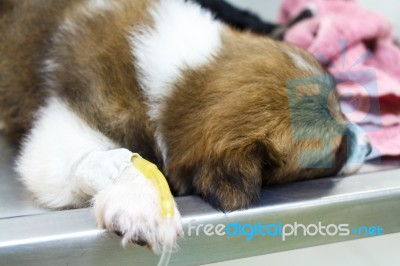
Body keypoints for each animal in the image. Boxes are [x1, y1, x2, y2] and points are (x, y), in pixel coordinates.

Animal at [0, 0, 368, 252]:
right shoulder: (61, 131)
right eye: (335, 152)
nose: (369, 145)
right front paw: (145, 199)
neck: (180, 81)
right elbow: (111, 157)